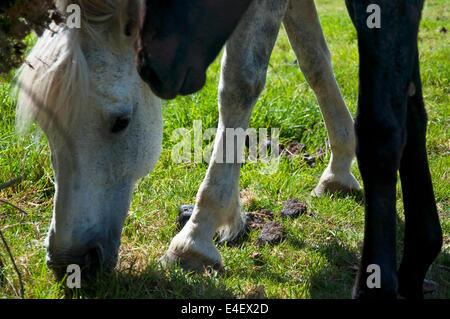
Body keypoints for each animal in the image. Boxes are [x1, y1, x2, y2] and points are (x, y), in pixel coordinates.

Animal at [138, 0, 442, 300]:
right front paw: (338, 172)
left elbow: (240, 81)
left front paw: (196, 237)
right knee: (410, 104)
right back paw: (417, 260)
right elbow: (313, 59)